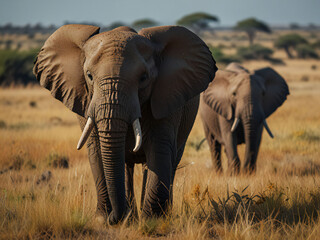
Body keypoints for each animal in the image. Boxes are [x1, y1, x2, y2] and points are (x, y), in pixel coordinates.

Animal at [33, 23, 218, 223]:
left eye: (143, 77)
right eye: (89, 76)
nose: (115, 218)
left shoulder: (167, 97)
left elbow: (159, 149)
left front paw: (152, 221)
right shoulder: (85, 101)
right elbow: (97, 151)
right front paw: (103, 219)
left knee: (167, 162)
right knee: (128, 167)